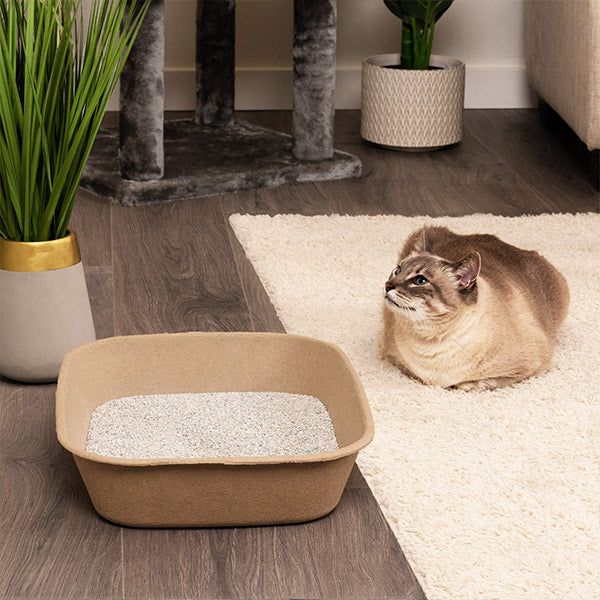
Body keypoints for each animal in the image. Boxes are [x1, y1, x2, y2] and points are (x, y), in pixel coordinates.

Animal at [382, 224, 568, 390]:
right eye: (397, 270)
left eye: (420, 280)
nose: (387, 285)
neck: (431, 340)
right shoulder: (394, 358)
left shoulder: (530, 368)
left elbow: (478, 383)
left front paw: (461, 385)